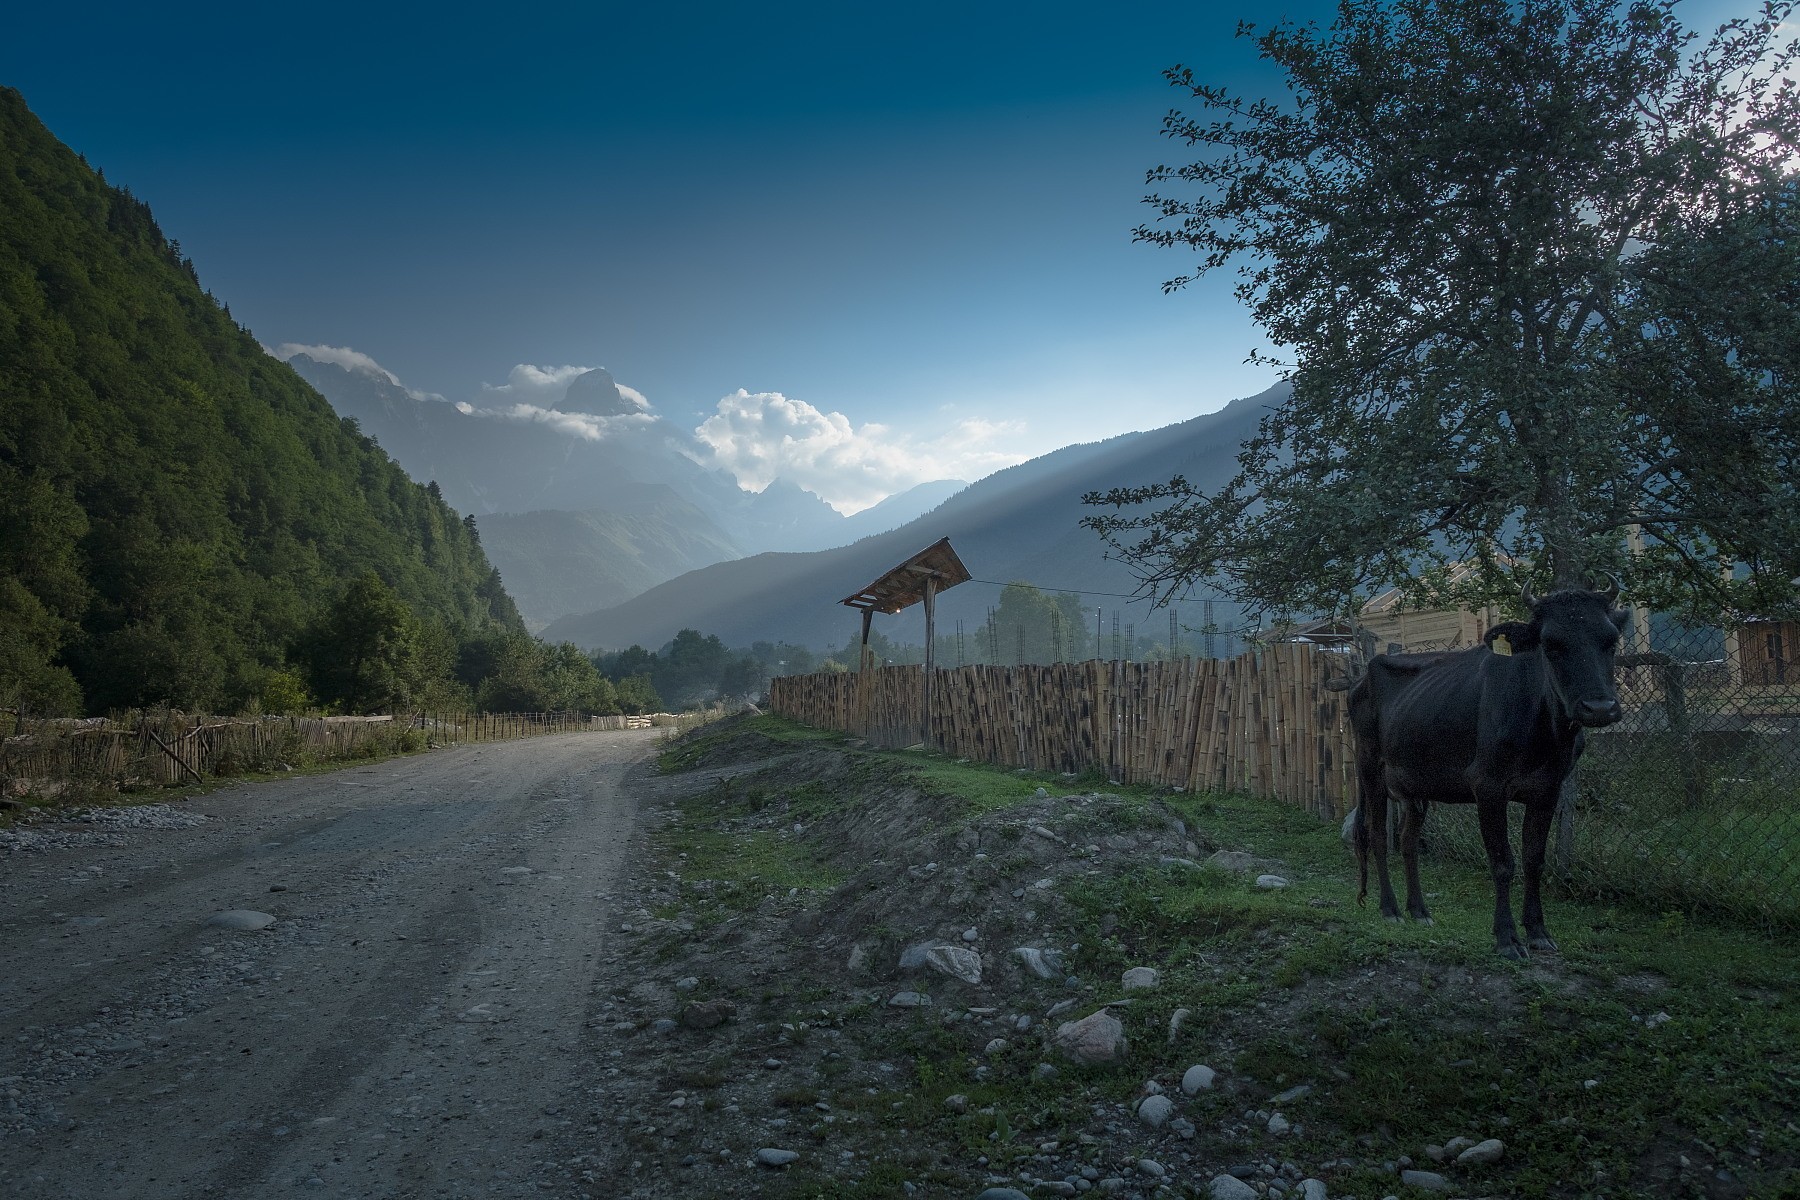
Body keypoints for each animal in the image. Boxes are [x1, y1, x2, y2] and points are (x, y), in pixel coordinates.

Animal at [1353, 590, 1634, 957]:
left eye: (1611, 641)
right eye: (1551, 644)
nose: (1599, 708)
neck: (1543, 732)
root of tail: (1363, 675)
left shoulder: (1548, 789)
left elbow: (1534, 860)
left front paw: (1539, 932)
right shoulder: (1487, 786)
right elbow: (1502, 864)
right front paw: (1507, 938)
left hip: (1414, 784)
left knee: (1408, 840)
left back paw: (1419, 911)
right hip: (1369, 767)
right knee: (1377, 836)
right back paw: (1390, 909)